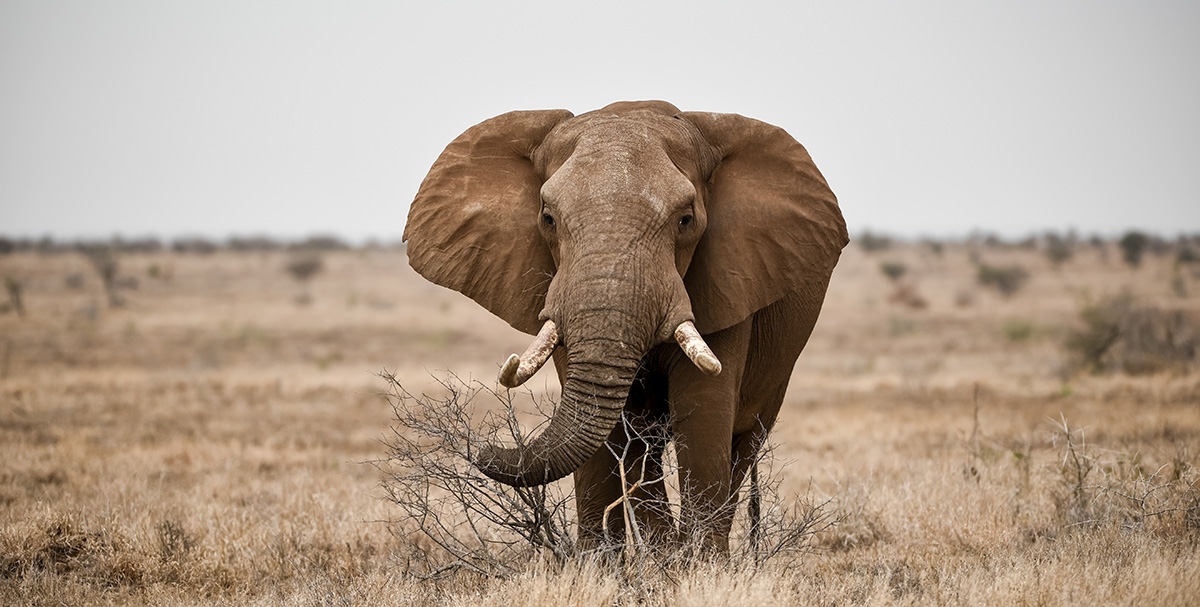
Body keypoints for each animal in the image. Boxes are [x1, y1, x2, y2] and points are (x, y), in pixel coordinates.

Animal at [404, 100, 847, 554]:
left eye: (686, 220)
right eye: (548, 218)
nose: (479, 448)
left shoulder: (728, 282)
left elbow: (703, 411)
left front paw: (697, 567)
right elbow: (614, 429)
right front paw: (607, 566)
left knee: (743, 442)